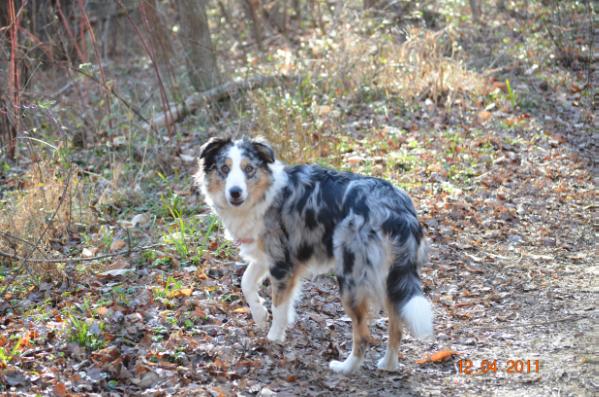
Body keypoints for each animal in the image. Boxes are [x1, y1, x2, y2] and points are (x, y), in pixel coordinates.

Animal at [195, 135, 434, 372]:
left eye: (248, 169)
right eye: (224, 169)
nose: (235, 192)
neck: (264, 194)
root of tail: (398, 210)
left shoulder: (281, 263)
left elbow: (278, 306)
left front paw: (273, 338)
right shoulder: (268, 255)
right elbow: (246, 283)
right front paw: (260, 314)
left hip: (352, 278)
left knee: (364, 334)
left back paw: (345, 367)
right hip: (389, 277)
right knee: (397, 323)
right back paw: (389, 364)